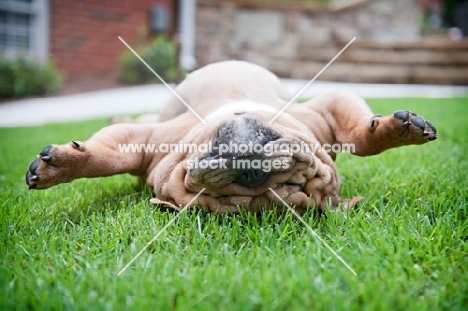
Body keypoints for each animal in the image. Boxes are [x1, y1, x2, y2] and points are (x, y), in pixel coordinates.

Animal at [24, 61, 436, 214]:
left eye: (292, 184)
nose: (253, 173)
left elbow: (358, 137)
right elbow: (109, 156)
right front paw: (64, 164)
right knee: (132, 118)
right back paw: (117, 113)